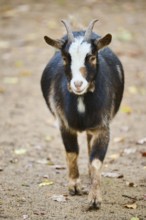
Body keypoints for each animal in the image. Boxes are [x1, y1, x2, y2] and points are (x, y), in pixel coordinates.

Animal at [41, 19, 124, 209]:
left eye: (92, 57)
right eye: (65, 58)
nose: (78, 84)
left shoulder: (103, 127)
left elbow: (96, 161)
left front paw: (94, 199)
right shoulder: (63, 124)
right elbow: (72, 153)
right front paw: (74, 187)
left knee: (88, 141)